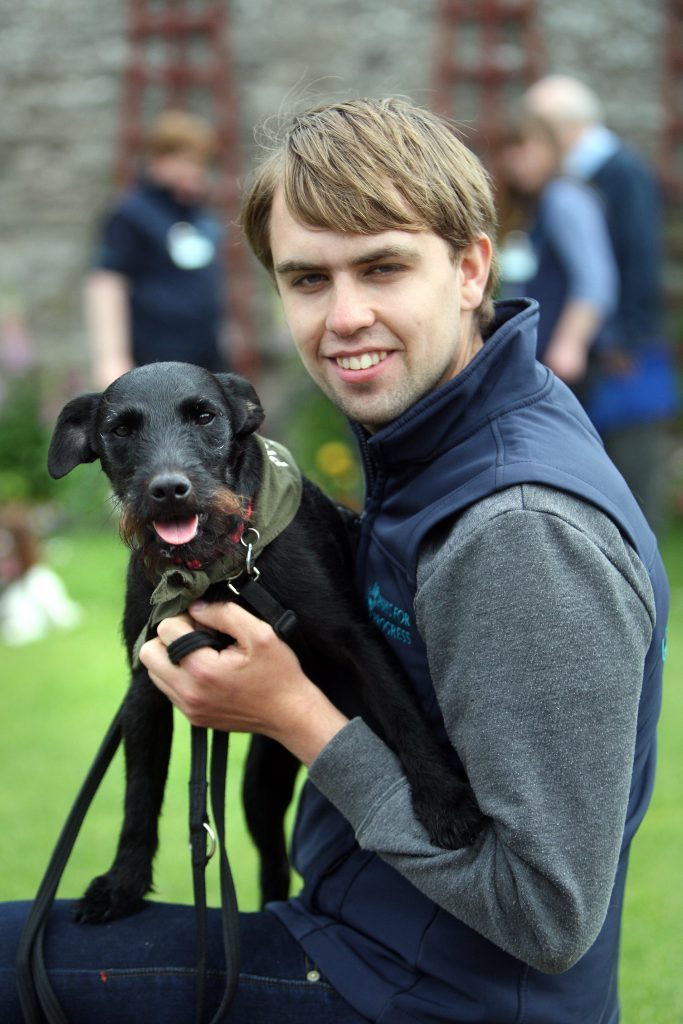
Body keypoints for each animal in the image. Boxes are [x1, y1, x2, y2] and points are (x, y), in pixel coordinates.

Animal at [46, 360, 485, 921]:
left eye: (205, 416)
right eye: (120, 429)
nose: (169, 489)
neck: (212, 570)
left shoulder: (357, 638)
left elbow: (403, 712)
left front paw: (445, 803)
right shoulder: (145, 685)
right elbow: (139, 794)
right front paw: (123, 884)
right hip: (259, 789)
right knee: (272, 863)